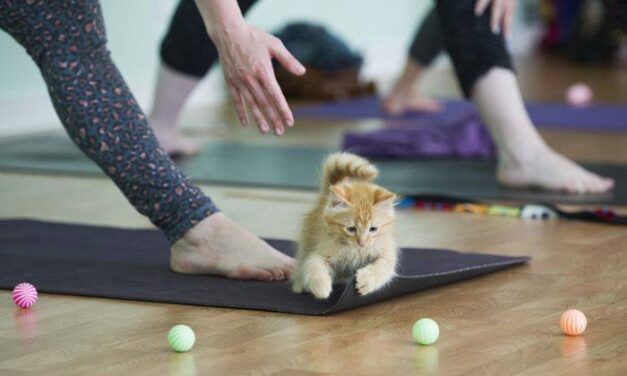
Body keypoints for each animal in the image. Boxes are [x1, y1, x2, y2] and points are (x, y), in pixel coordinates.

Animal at [290, 153, 398, 300]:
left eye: (373, 229)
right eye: (351, 229)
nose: (362, 242)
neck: (356, 251)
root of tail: (326, 196)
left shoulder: (387, 255)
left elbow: (381, 268)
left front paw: (366, 281)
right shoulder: (320, 252)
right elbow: (313, 266)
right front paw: (321, 288)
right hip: (307, 244)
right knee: (302, 264)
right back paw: (299, 284)